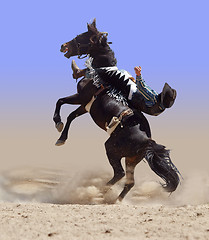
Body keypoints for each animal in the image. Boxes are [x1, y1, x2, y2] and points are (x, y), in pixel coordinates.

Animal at [53, 19, 180, 202]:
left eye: (82, 36)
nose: (63, 45)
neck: (100, 75)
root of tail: (147, 141)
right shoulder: (86, 106)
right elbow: (71, 115)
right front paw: (61, 137)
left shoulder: (81, 97)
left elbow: (60, 102)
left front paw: (58, 124)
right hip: (131, 160)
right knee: (129, 182)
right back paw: (115, 200)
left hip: (112, 149)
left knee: (119, 174)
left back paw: (100, 191)